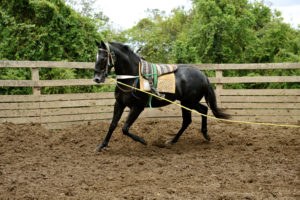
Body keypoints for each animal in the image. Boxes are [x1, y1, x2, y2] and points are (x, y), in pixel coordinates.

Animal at [92, 41, 229, 151]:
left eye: (104, 57)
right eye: (96, 57)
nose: (97, 78)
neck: (133, 77)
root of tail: (203, 76)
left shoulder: (137, 107)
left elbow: (125, 128)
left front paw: (143, 141)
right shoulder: (119, 104)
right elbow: (113, 125)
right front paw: (102, 145)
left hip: (188, 102)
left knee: (192, 117)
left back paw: (184, 138)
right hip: (187, 102)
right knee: (199, 112)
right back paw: (186, 138)